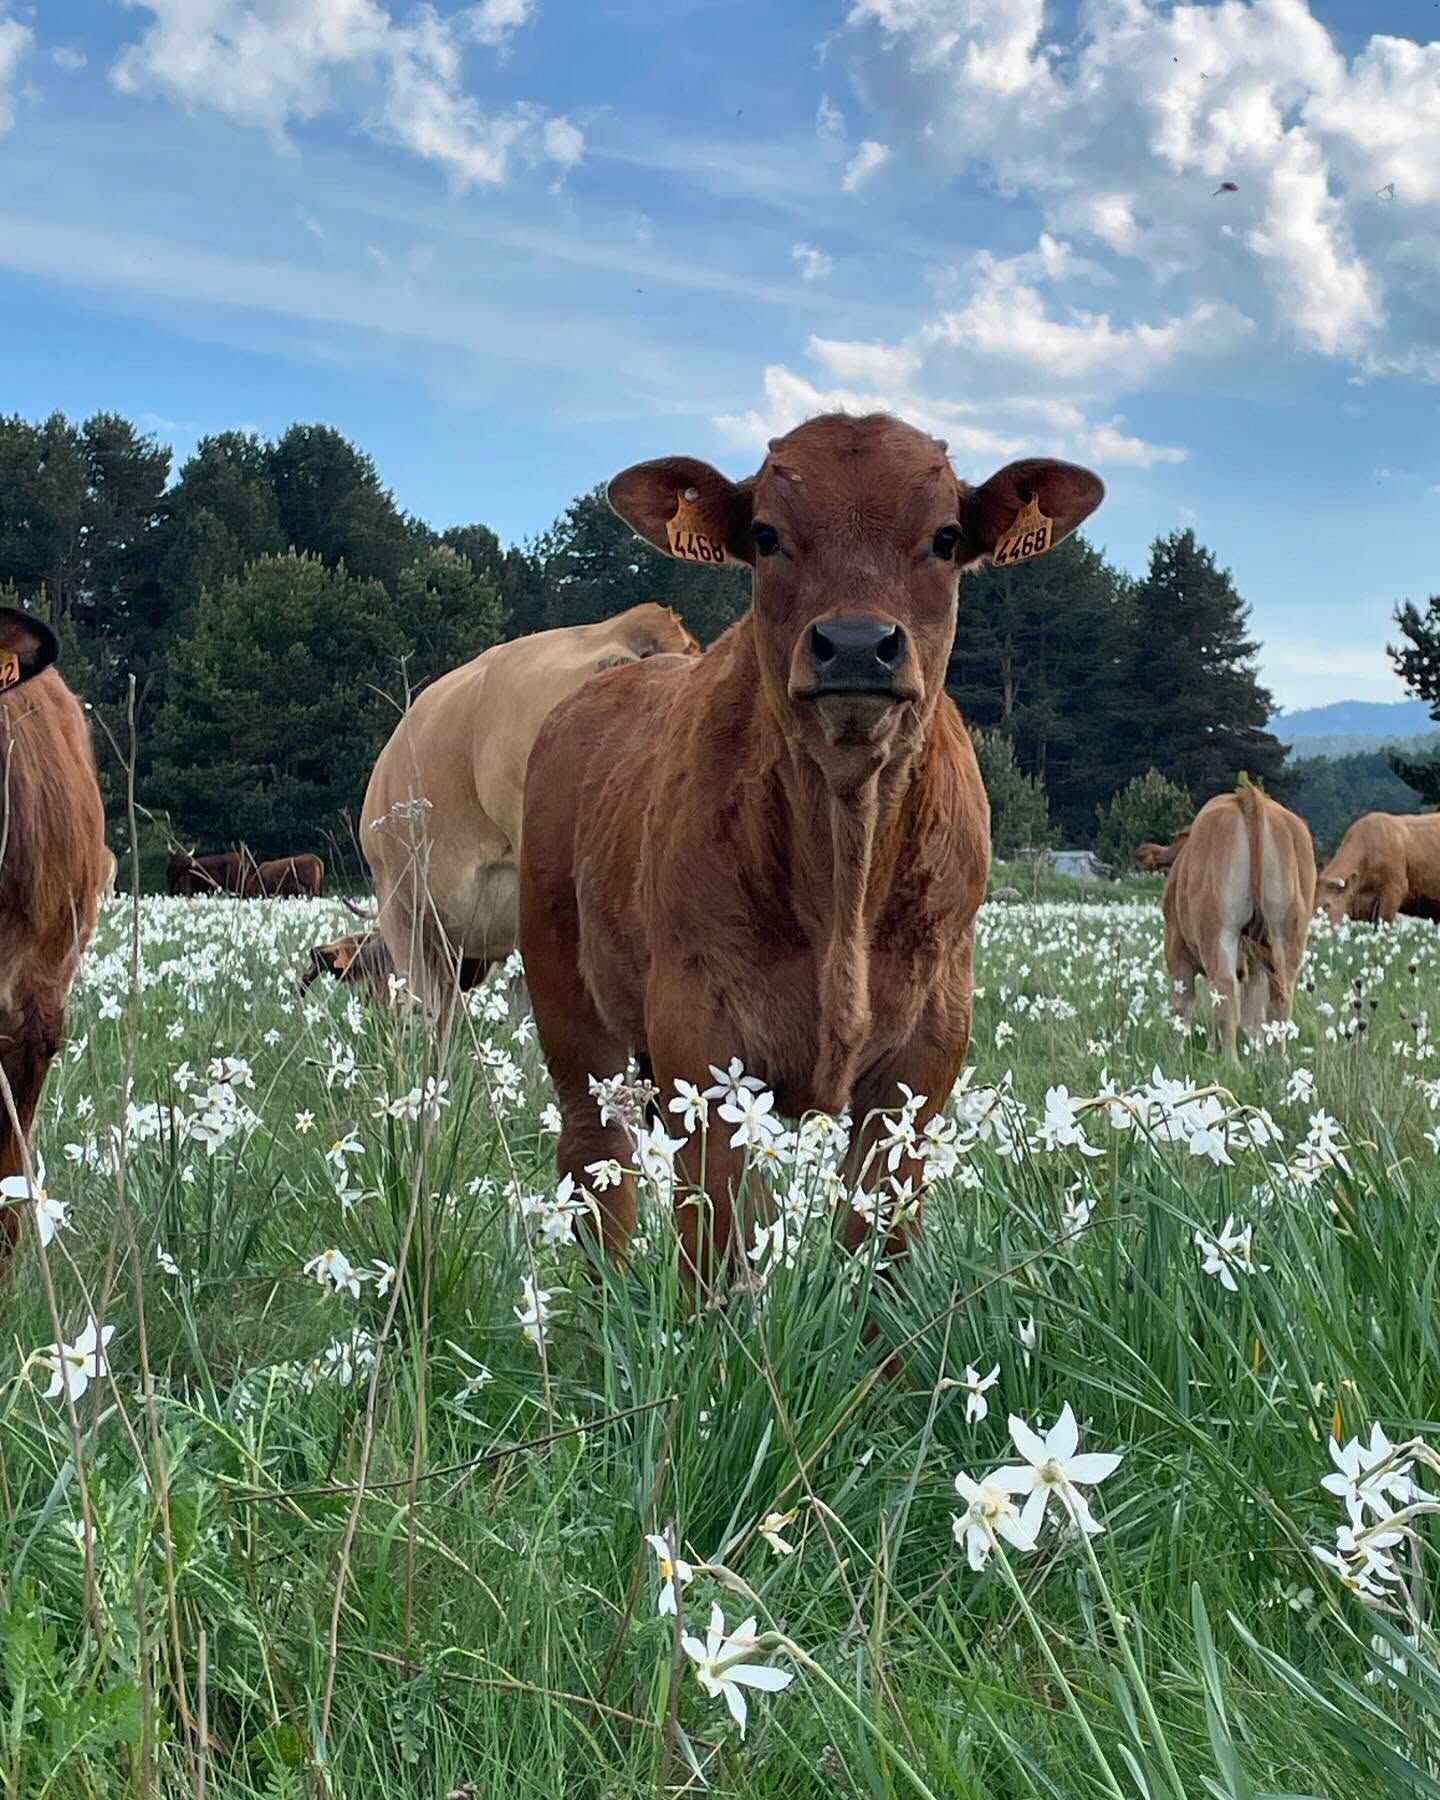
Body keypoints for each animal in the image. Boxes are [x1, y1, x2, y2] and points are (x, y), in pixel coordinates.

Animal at [520, 412, 1104, 1280]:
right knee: (599, 1162)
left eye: (946, 536)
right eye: (765, 534)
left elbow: (877, 1242)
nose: (857, 644)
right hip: (570, 1011)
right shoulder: (702, 1037)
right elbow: (722, 1248)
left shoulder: (926, 1053)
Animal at [1162, 786, 1315, 1056]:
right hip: (1287, 936)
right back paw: (1278, 1060)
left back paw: (1230, 1061)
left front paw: (1176, 1054)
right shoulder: (1254, 965)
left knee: (1225, 992)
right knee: (1279, 1000)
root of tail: (1249, 796)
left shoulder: (1176, 949)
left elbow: (1182, 1006)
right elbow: (1254, 1014)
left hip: (1219, 932)